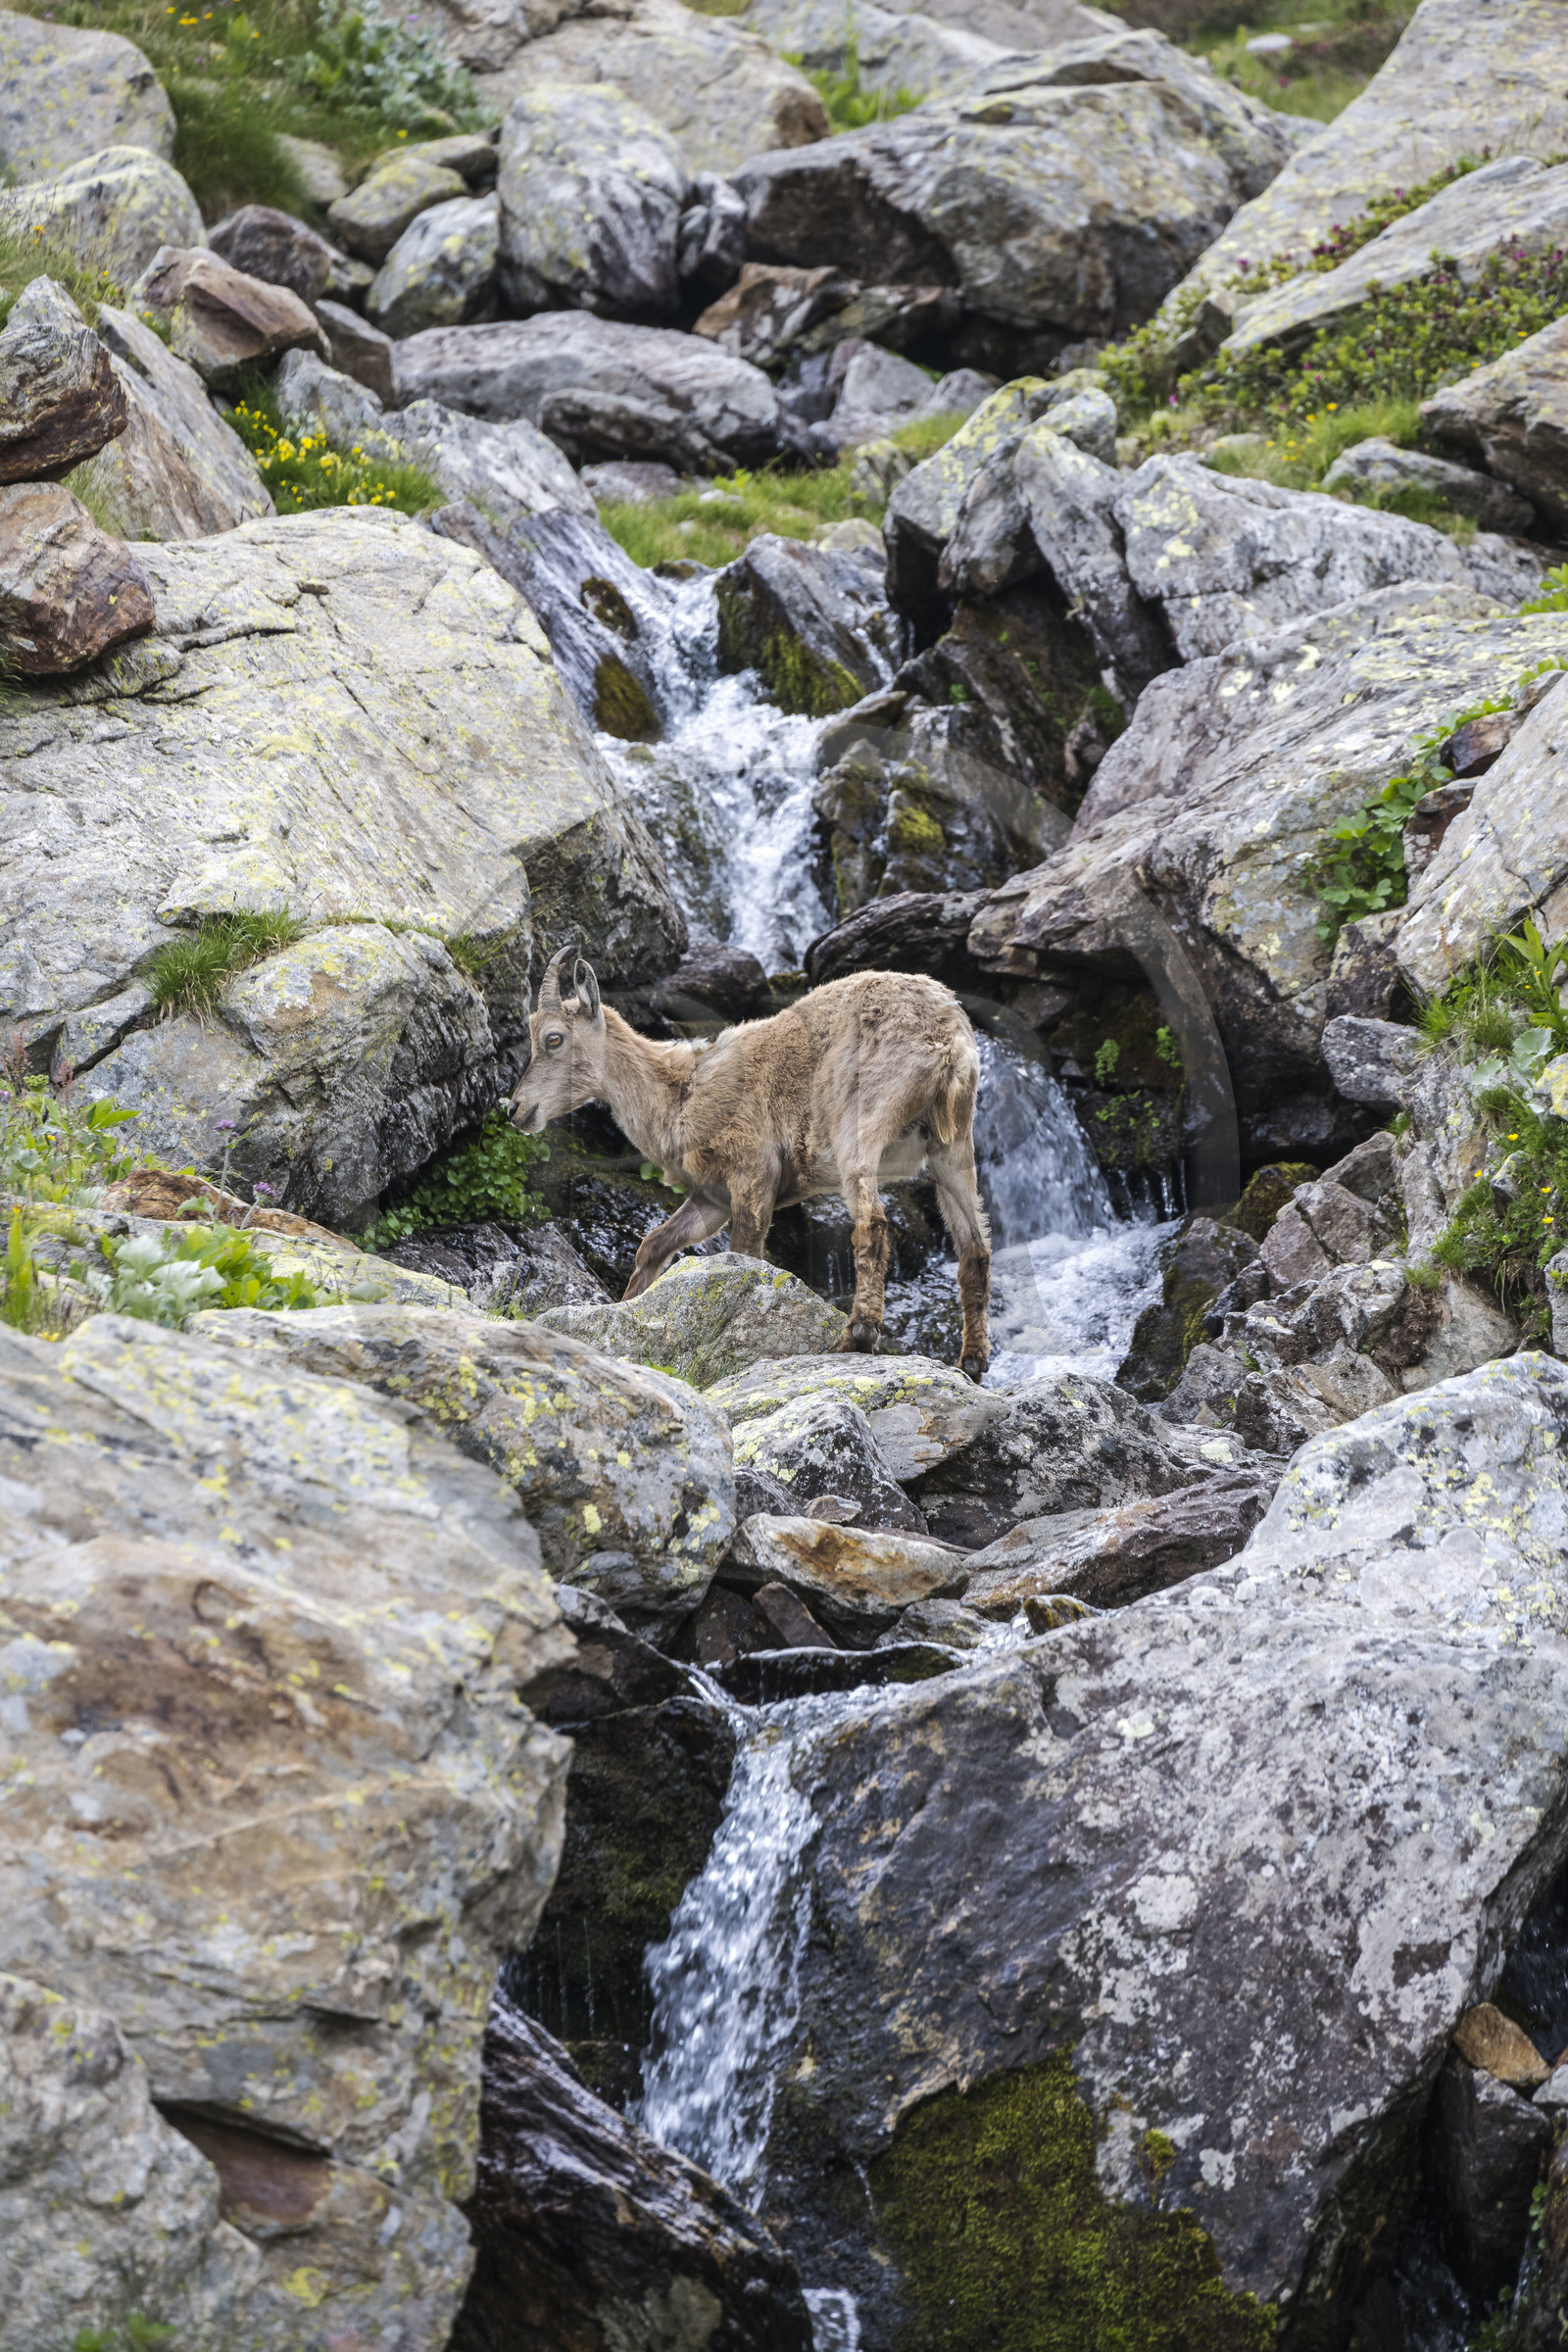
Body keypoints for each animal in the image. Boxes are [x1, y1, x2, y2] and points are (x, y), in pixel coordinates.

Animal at [510, 947, 992, 1379]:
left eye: (554, 1037)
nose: (516, 1109)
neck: (679, 1094)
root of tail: (947, 1040)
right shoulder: (711, 1199)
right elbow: (655, 1243)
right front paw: (627, 1307)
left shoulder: (753, 1174)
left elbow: (744, 1257)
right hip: (952, 1145)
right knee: (975, 1246)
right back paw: (971, 1361)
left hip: (859, 1125)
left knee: (872, 1221)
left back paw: (858, 1334)